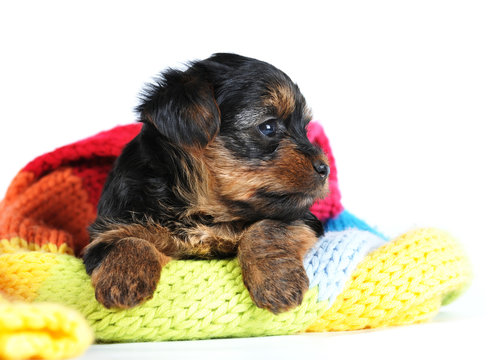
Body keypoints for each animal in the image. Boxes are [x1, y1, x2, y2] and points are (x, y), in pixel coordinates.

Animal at [84, 52, 330, 314]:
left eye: (305, 130)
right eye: (268, 127)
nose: (325, 168)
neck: (203, 211)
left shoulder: (302, 218)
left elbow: (268, 228)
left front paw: (278, 282)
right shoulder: (107, 230)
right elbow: (128, 240)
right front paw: (122, 282)